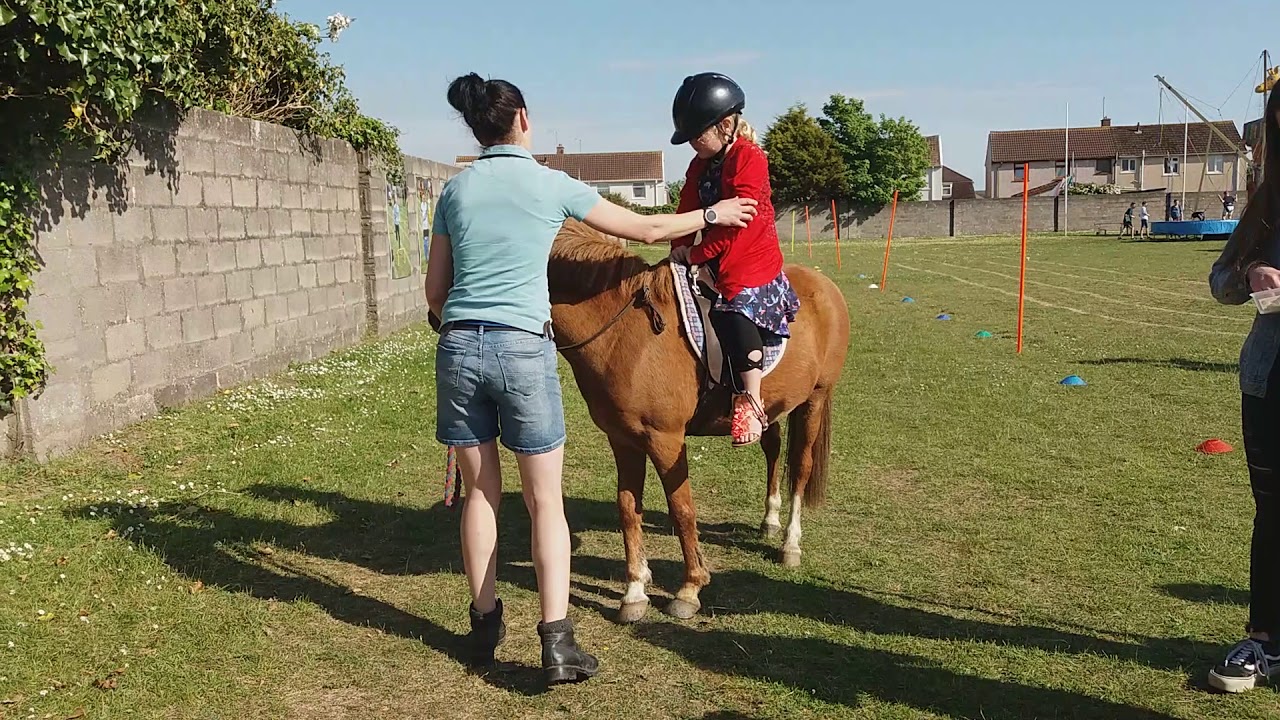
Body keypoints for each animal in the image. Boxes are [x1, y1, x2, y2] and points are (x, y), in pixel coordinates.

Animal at [547, 220, 851, 623]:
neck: (625, 333)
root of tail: (825, 285)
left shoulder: (666, 440)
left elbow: (682, 510)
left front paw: (689, 589)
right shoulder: (623, 439)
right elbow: (628, 509)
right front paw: (634, 592)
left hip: (815, 399)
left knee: (800, 467)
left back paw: (790, 544)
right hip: (769, 406)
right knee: (772, 449)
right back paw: (769, 521)